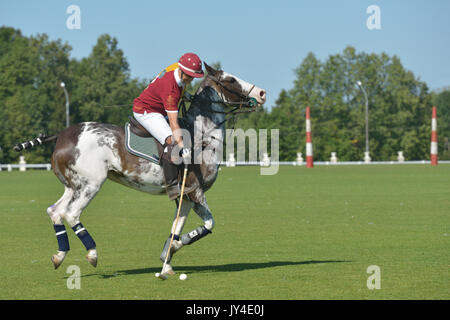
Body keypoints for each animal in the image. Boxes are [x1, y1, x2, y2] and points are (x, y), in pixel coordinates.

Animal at [13, 63, 268, 278]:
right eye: (231, 79)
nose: (262, 93)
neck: (202, 137)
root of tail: (61, 135)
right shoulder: (195, 191)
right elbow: (208, 224)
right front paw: (174, 248)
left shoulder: (185, 195)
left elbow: (178, 227)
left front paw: (167, 260)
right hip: (91, 183)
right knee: (71, 213)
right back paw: (92, 254)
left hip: (73, 185)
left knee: (54, 211)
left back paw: (59, 256)